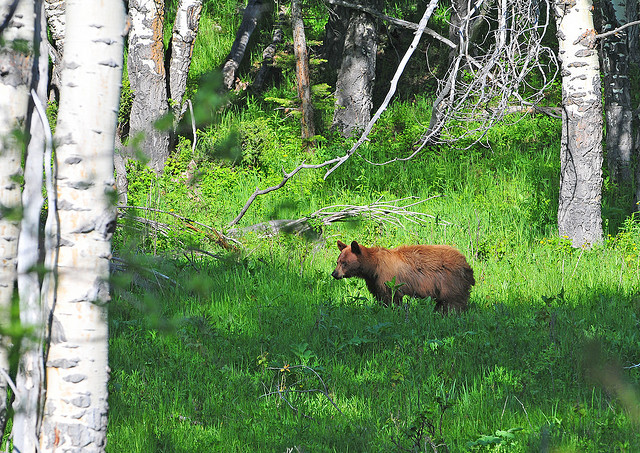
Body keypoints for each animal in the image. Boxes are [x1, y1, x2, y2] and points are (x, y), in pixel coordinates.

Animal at [332, 240, 475, 313]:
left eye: (344, 263)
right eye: (337, 261)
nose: (334, 274)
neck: (373, 267)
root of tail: (465, 263)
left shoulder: (388, 279)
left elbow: (391, 298)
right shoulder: (374, 281)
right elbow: (380, 296)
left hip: (450, 282)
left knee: (454, 302)